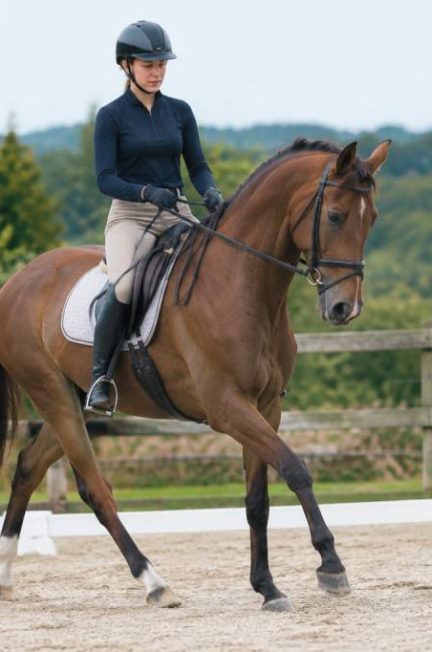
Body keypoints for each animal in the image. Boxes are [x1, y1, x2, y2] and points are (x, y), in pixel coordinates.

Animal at [0, 138, 389, 610]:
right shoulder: (228, 408)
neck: (241, 284)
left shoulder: (264, 407)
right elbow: (295, 468)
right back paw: (154, 582)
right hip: (53, 394)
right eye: (334, 215)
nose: (343, 308)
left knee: (27, 466)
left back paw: (4, 575)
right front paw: (331, 565)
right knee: (94, 488)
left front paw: (266, 586)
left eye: (372, 217)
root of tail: (16, 281)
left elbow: (257, 499)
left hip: (74, 402)